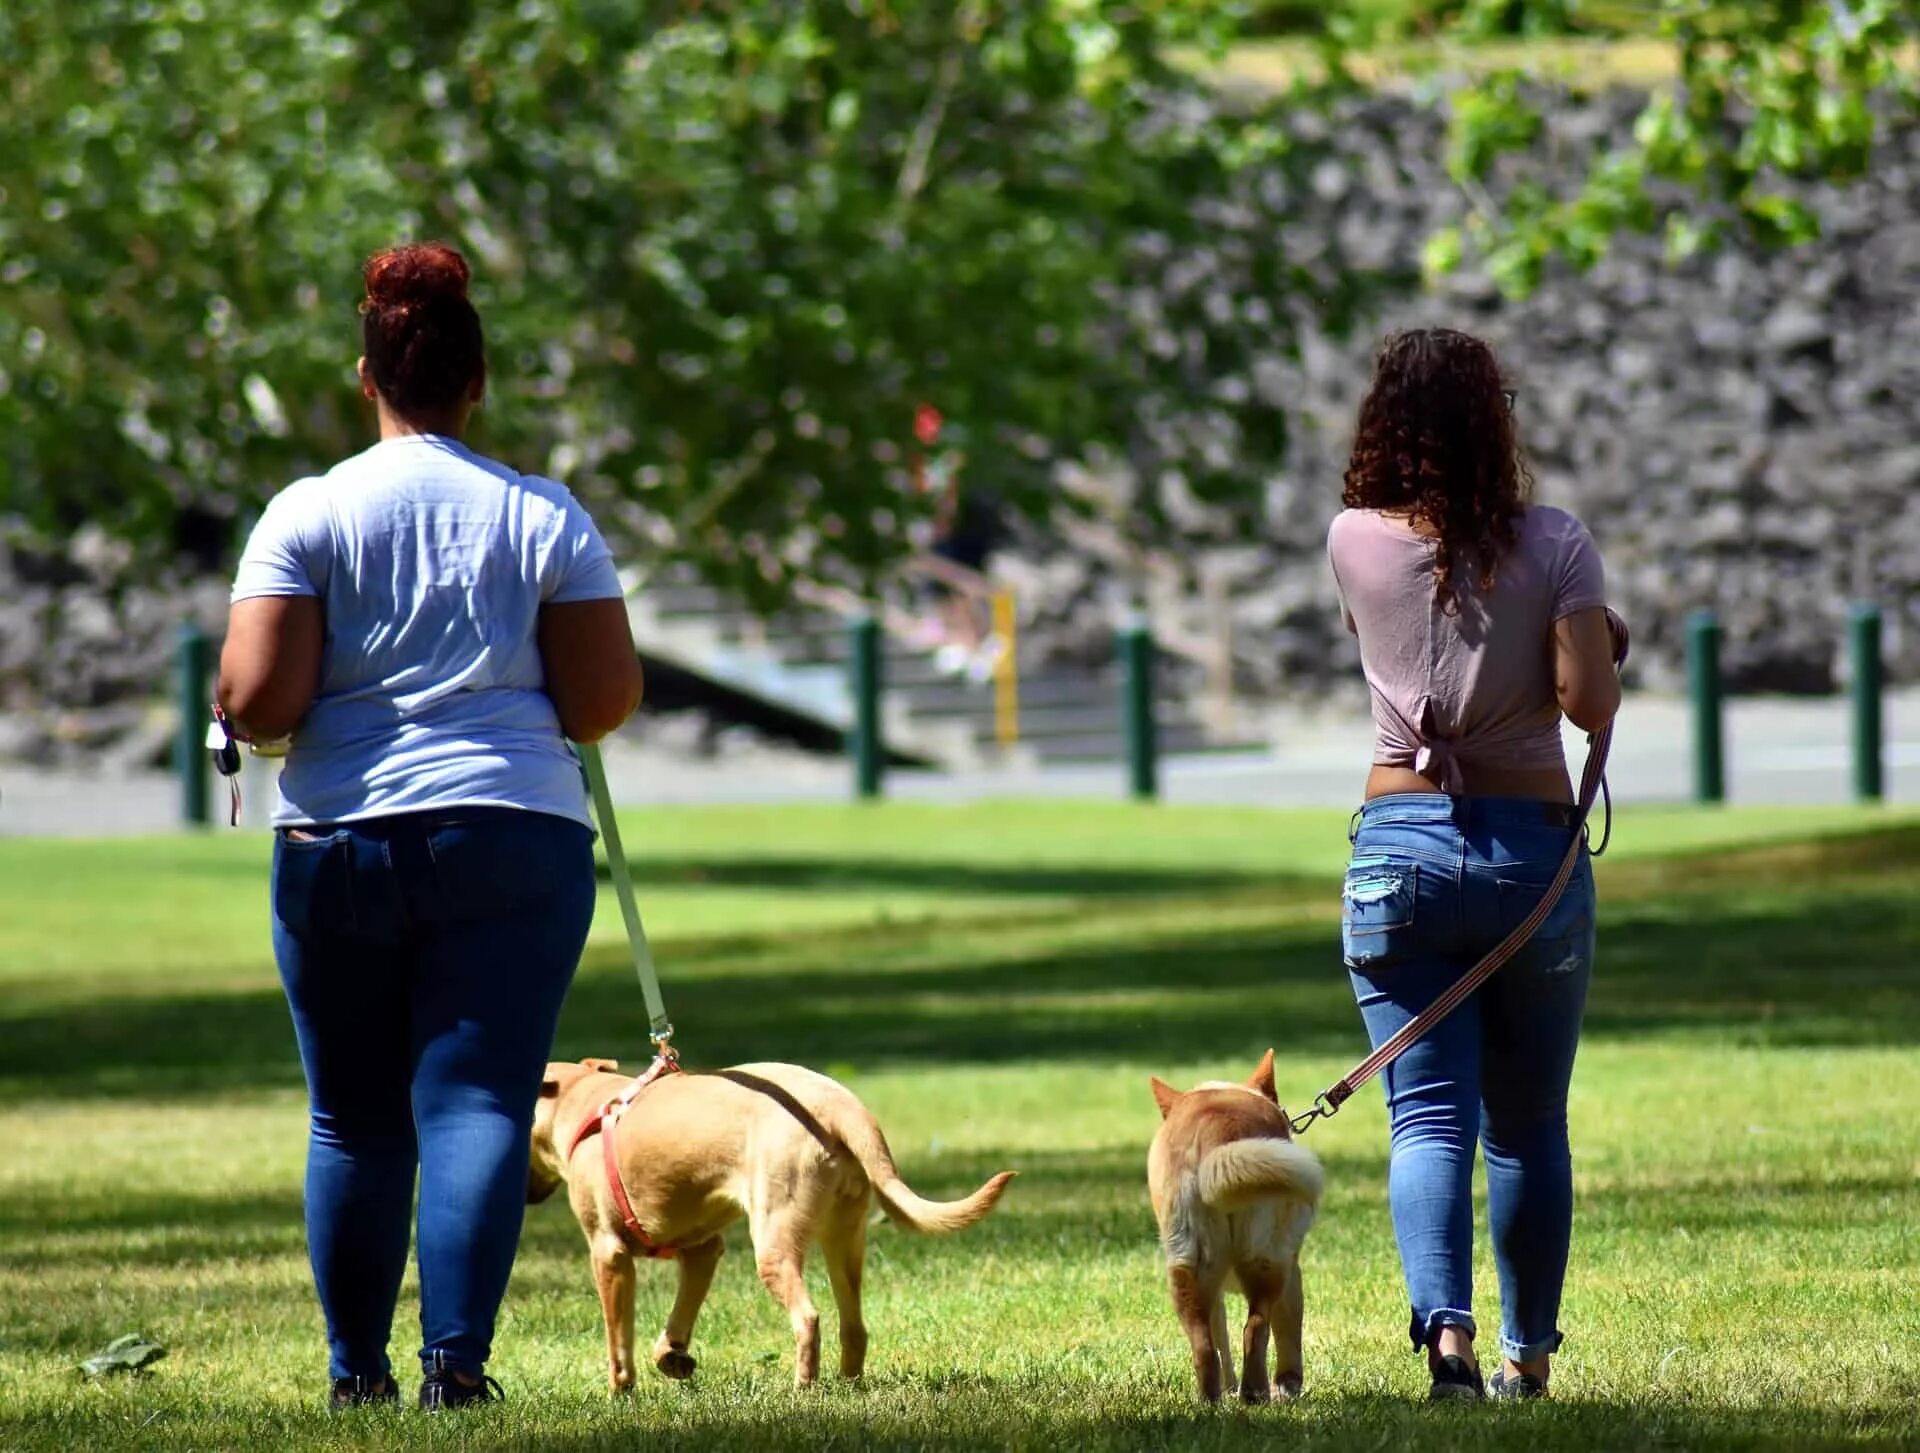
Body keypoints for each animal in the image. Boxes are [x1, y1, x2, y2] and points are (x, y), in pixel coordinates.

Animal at [526, 1059, 1006, 1389]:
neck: (584, 1103)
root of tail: (842, 1107)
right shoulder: (702, 1250)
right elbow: (677, 1321)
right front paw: (673, 1359)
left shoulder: (609, 1254)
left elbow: (618, 1340)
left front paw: (621, 1392)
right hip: (844, 1236)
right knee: (854, 1327)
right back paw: (849, 1385)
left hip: (775, 1240)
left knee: (808, 1318)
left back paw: (804, 1387)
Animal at [1152, 1051, 1320, 1397]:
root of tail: (1216, 1137)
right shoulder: (1292, 1273)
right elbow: (1288, 1332)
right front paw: (1288, 1384)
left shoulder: (1213, 1291)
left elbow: (1221, 1342)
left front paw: (1229, 1386)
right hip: (1269, 1261)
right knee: (1256, 1330)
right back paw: (1256, 1394)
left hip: (1186, 1270)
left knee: (1205, 1348)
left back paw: (1213, 1400)